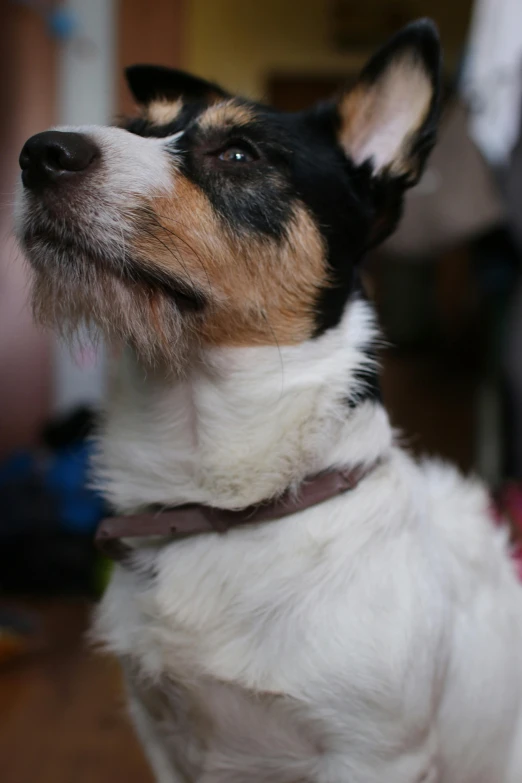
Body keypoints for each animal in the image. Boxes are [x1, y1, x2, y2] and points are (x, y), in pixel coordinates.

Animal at [14, 18, 520, 783]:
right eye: (134, 127)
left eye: (239, 153)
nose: (37, 153)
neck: (225, 500)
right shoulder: (161, 733)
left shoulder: (378, 755)